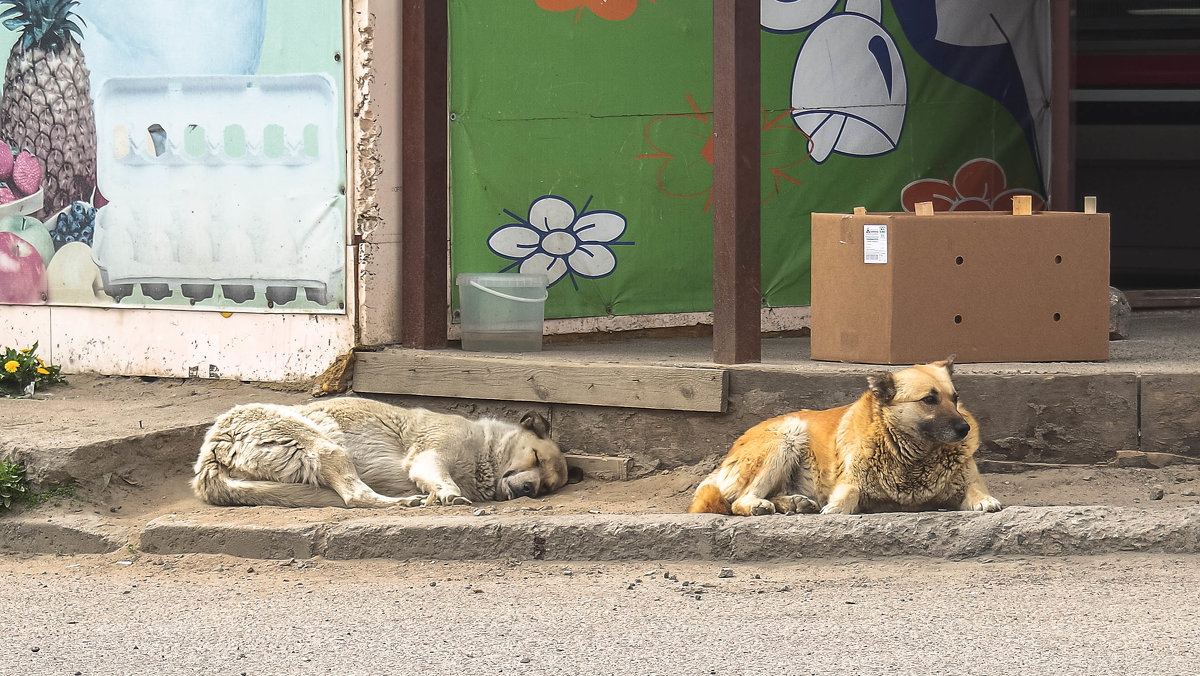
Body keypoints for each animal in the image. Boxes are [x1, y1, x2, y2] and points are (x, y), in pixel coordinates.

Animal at [194, 396, 583, 509]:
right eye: (535, 457)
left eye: (547, 487)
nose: (529, 489)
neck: (483, 453)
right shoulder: (430, 455)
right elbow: (442, 479)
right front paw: (447, 494)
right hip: (326, 446)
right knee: (355, 497)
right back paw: (403, 501)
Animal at [691, 362, 998, 516]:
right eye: (929, 400)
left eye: (954, 398)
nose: (965, 429)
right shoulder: (851, 483)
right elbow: (846, 498)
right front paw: (835, 509)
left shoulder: (969, 481)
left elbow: (976, 490)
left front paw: (984, 500)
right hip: (788, 436)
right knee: (739, 502)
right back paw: (761, 505)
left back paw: (793, 503)